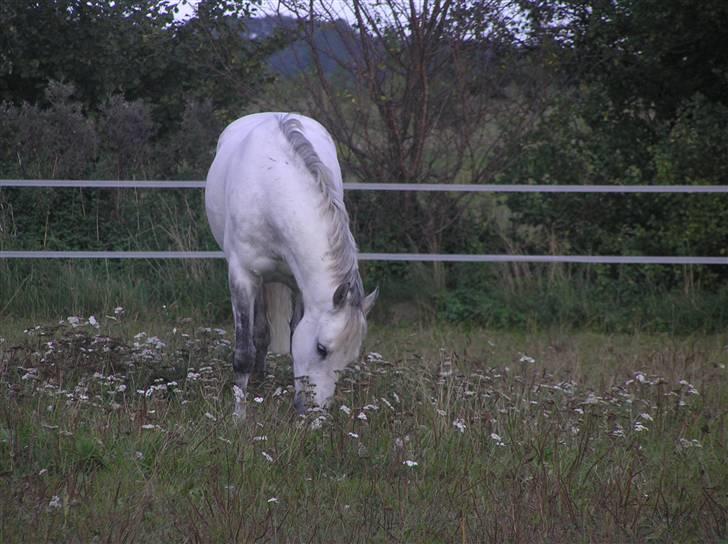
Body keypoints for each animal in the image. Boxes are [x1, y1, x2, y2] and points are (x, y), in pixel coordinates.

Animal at [203, 110, 376, 416]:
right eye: (322, 349)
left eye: (349, 358)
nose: (317, 411)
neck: (270, 186)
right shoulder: (242, 276)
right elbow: (243, 353)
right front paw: (238, 417)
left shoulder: (299, 285)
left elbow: (295, 338)